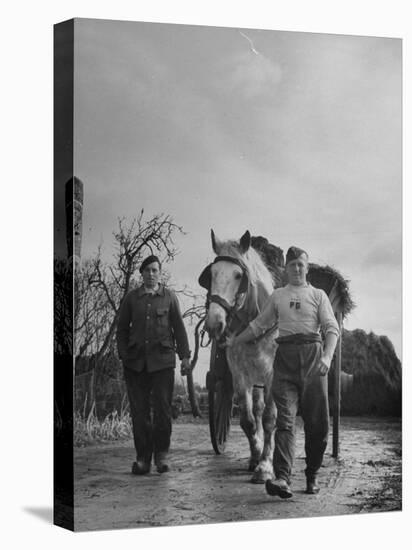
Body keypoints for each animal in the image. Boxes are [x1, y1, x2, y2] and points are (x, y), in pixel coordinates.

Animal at [199, 231, 278, 486]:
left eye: (238, 275)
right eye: (211, 274)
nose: (214, 323)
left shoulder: (274, 375)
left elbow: (271, 419)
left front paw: (265, 466)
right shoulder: (239, 374)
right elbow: (248, 420)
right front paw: (256, 456)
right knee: (257, 408)